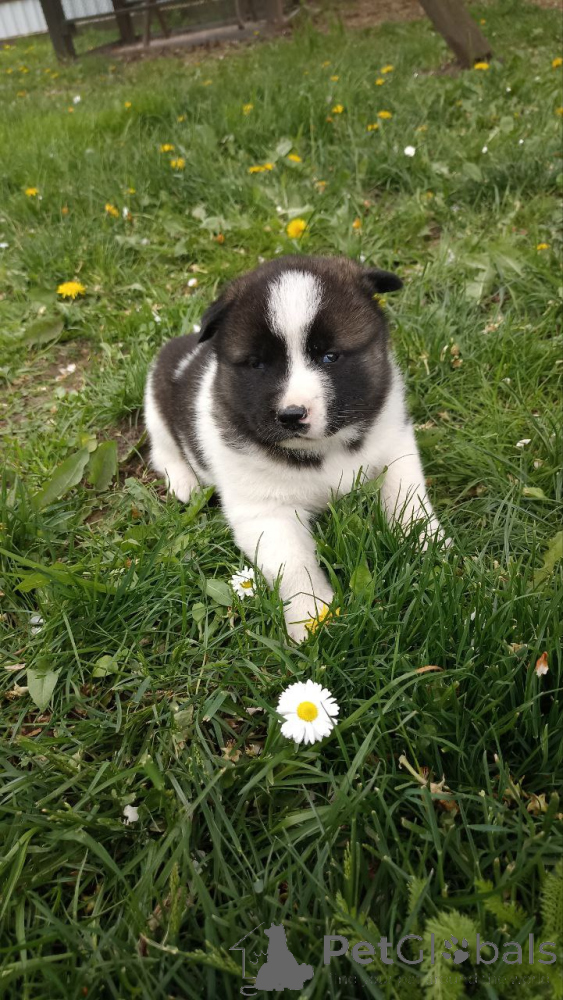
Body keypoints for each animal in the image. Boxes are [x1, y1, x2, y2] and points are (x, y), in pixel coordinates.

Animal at [144, 255, 443, 642]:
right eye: (256, 364)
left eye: (330, 356)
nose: (290, 415)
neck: (326, 447)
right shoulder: (264, 511)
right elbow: (295, 563)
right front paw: (312, 618)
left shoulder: (394, 441)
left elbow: (408, 502)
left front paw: (429, 547)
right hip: (155, 408)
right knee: (162, 450)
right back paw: (184, 482)